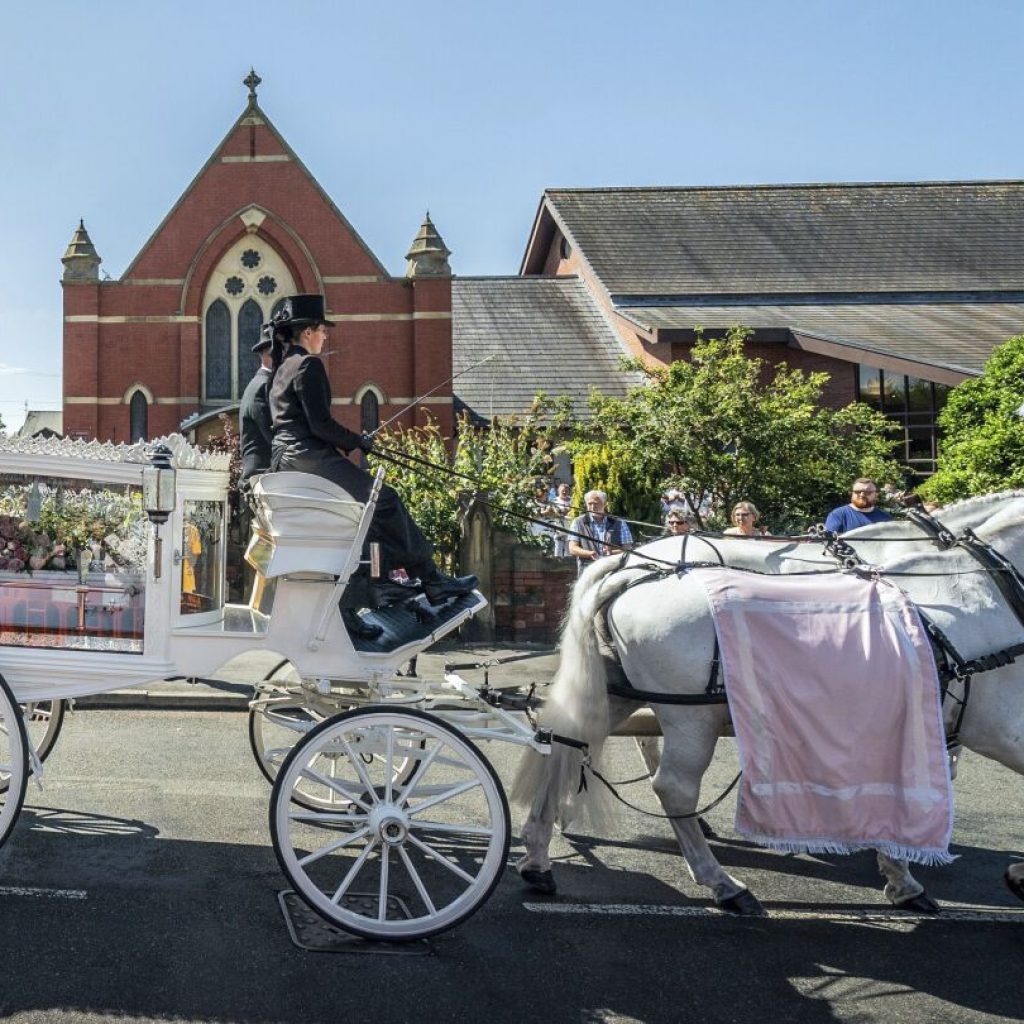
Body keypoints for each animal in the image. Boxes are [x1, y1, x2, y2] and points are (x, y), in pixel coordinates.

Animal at [516, 491, 1024, 917]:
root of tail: (628, 567)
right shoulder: (996, 725)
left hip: (617, 691)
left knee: (566, 741)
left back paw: (538, 853)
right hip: (691, 714)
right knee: (673, 785)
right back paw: (721, 882)